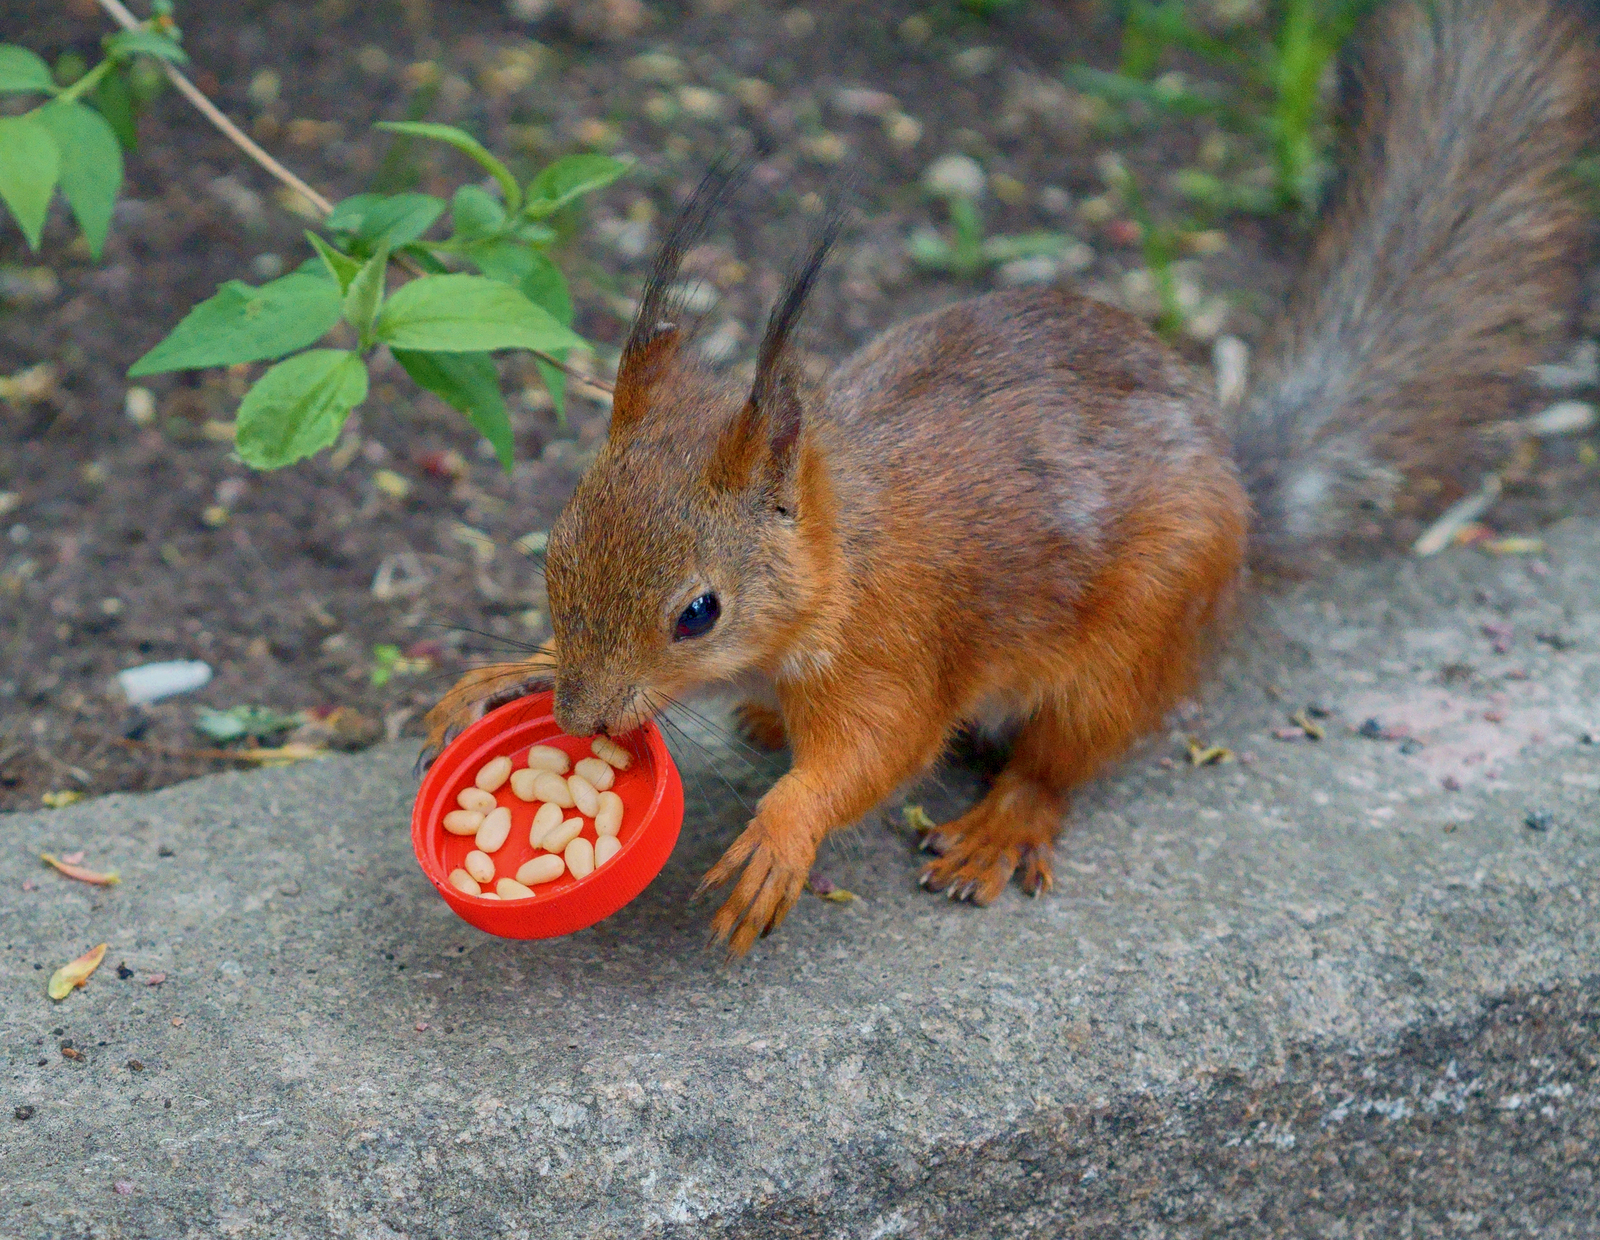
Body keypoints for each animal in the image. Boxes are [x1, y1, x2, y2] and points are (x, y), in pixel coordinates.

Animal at [425, 0, 1600, 960]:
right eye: (554, 552)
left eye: (697, 614)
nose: (580, 719)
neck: (841, 555)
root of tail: (1245, 497)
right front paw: (507, 671)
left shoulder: (895, 651)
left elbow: (878, 752)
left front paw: (780, 834)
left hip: (1131, 644)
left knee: (1065, 759)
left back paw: (1000, 826)